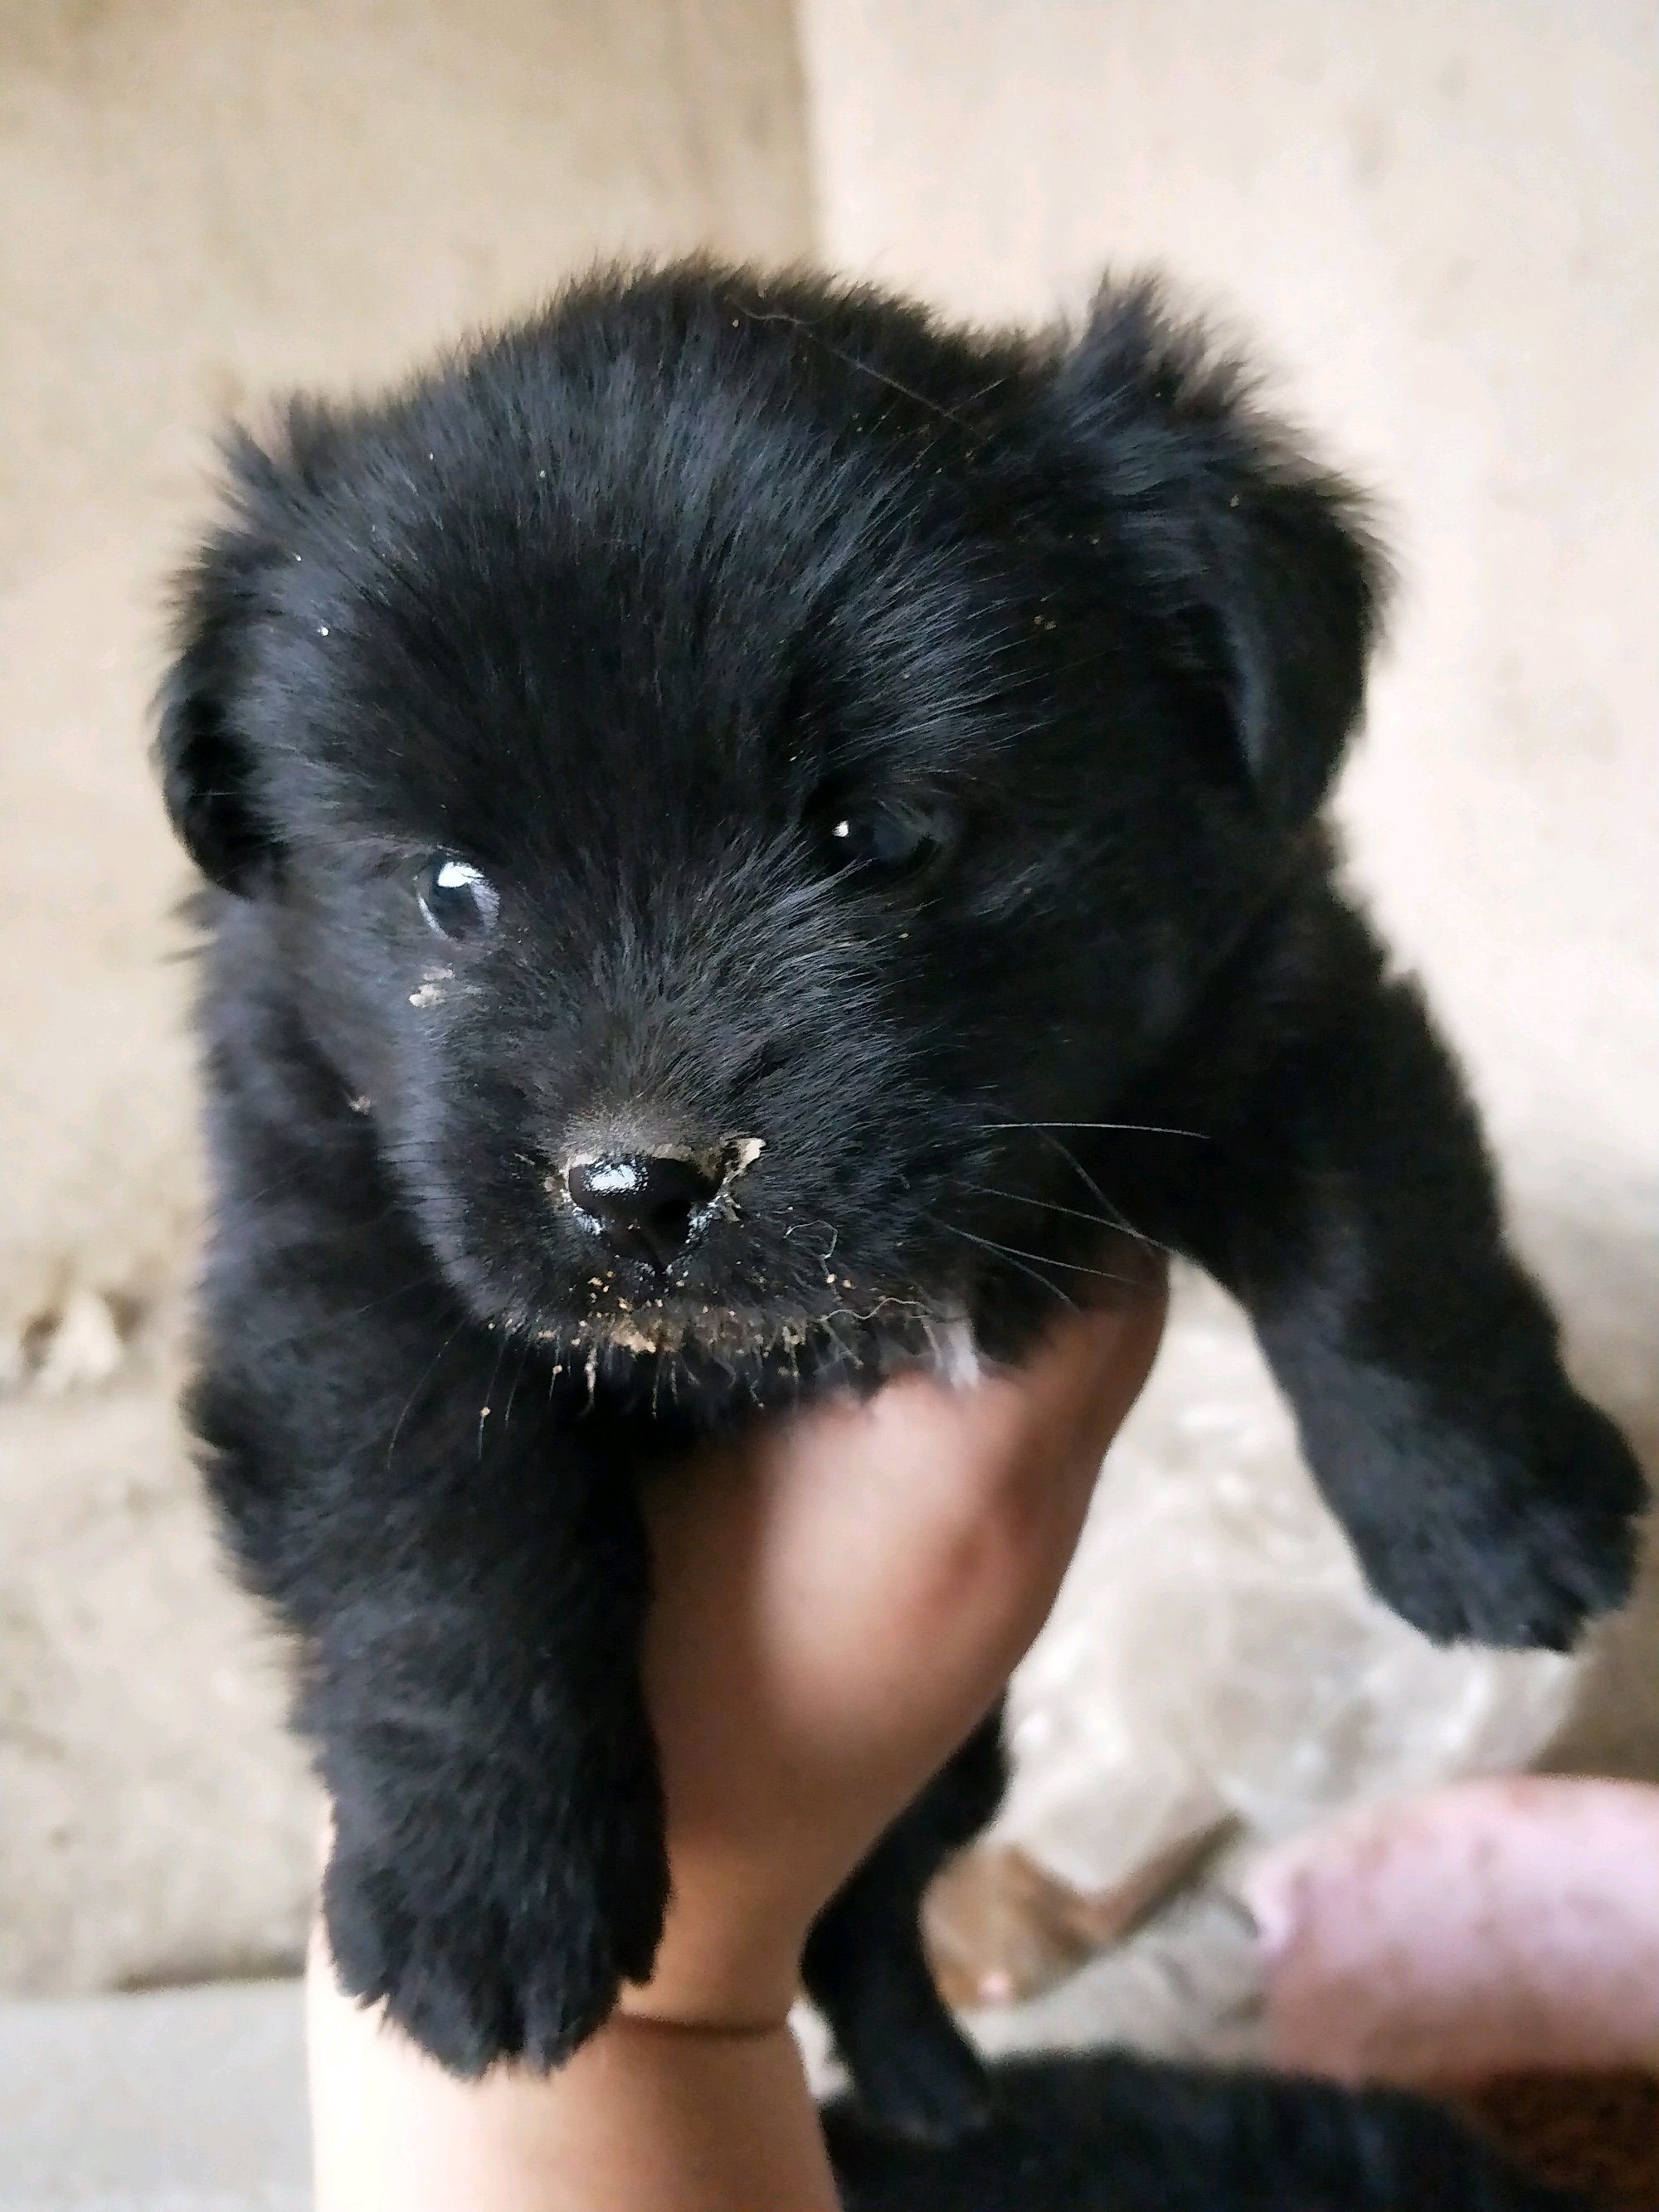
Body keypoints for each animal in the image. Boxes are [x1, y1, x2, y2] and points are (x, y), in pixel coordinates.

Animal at [158, 261, 1644, 2140]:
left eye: (875, 834)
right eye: (448, 892)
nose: (637, 1186)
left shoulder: (1268, 993)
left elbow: (1384, 1256)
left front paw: (1500, 1521)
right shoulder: (326, 1227)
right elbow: (440, 1525)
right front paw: (478, 1892)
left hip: (964, 1763)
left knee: (866, 1914)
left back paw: (944, 2092)